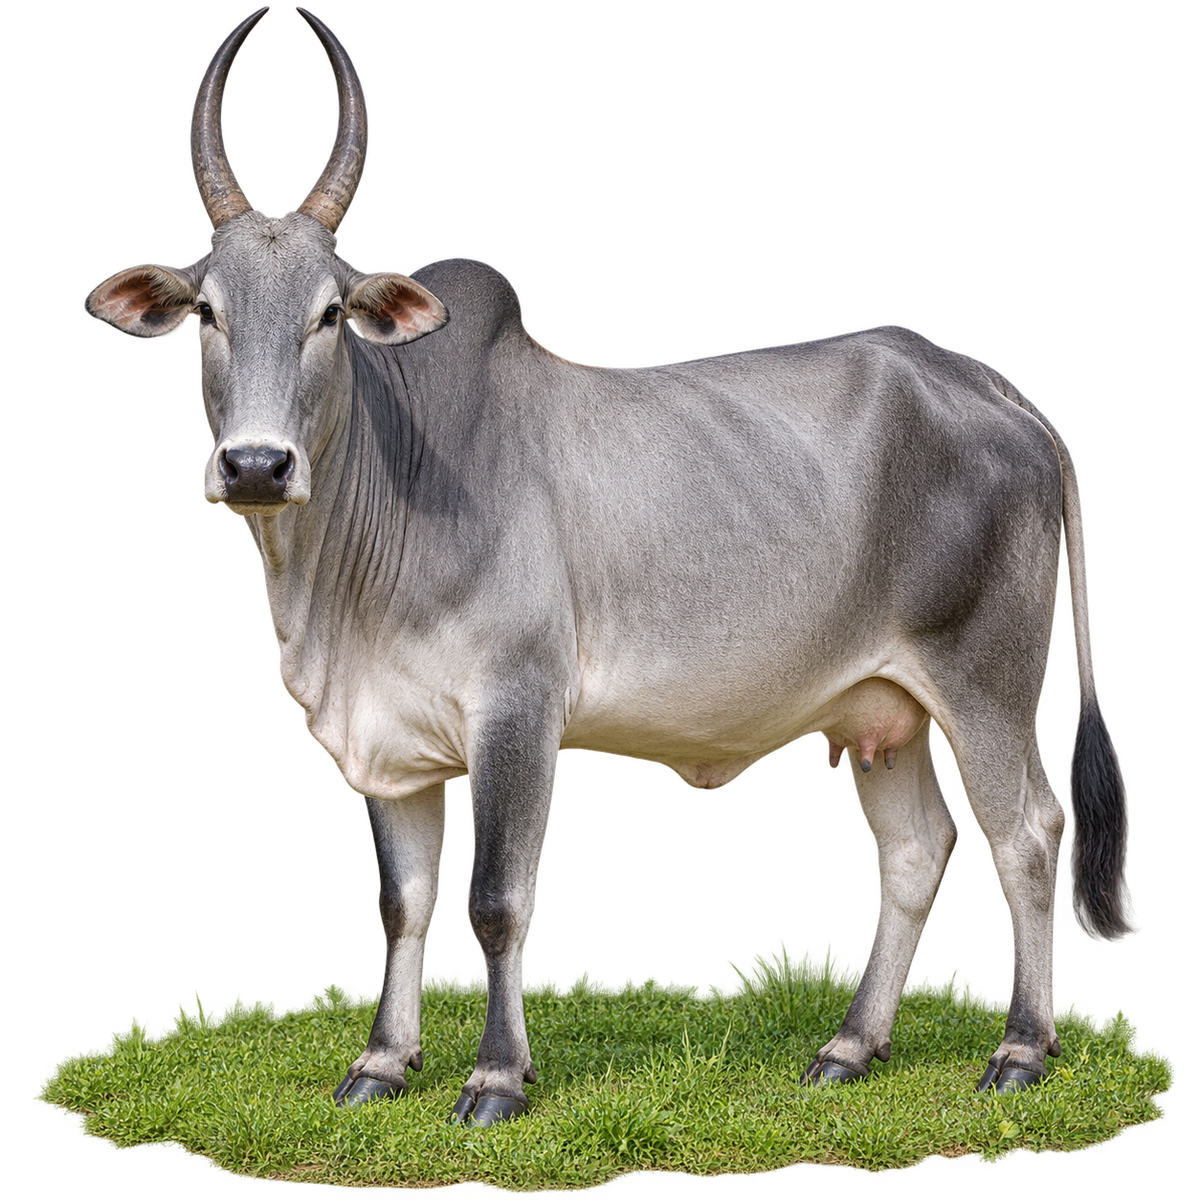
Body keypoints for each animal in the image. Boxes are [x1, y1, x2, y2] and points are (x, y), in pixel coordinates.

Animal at [83, 5, 1138, 1126]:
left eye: (330, 313)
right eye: (206, 311)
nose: (253, 465)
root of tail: (985, 382)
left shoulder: (518, 705)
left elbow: (497, 902)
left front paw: (496, 1078)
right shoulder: (387, 732)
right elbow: (404, 902)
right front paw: (381, 1064)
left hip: (984, 676)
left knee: (1027, 835)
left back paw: (1022, 1049)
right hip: (879, 701)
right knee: (909, 852)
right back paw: (850, 1049)